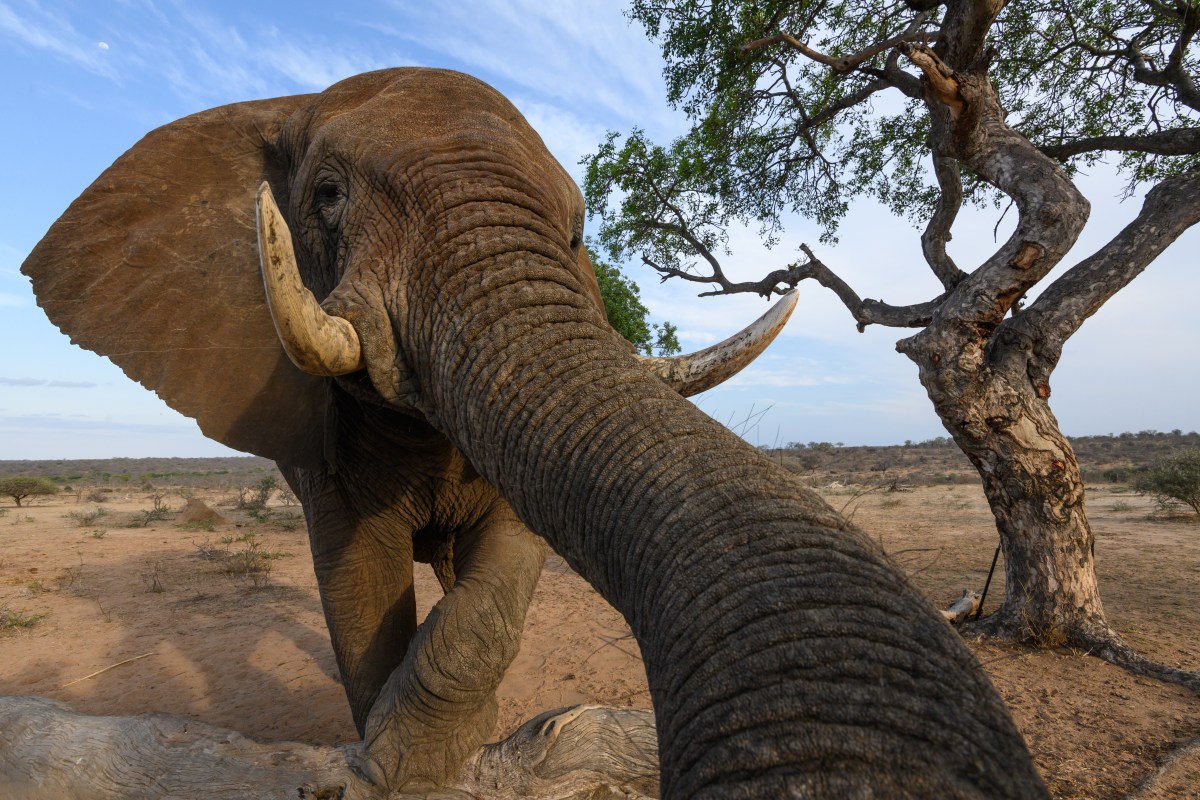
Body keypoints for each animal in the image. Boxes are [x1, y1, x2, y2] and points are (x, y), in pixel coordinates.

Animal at [20, 68, 1047, 798]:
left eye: (582, 230)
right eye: (325, 197)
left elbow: (501, 575)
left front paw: (414, 759)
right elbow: (359, 586)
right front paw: (376, 767)